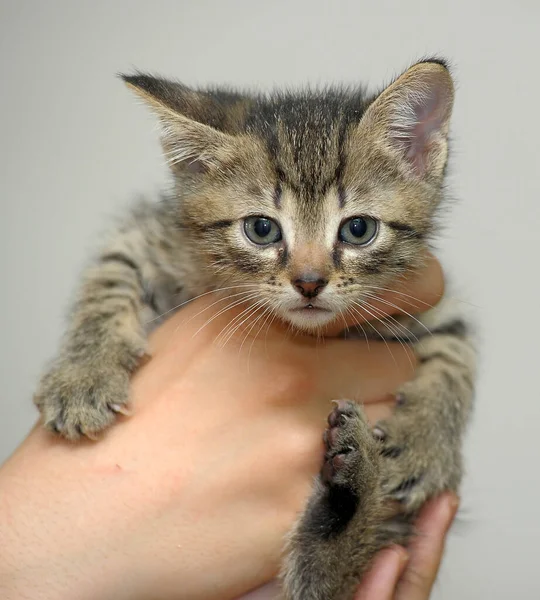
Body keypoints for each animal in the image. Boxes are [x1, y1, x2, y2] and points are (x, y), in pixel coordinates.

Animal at [35, 57, 476, 600]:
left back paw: (349, 491)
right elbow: (109, 278)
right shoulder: (148, 240)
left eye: (358, 229)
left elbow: (455, 356)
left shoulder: (429, 301)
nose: (309, 282)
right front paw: (82, 376)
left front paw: (425, 443)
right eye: (261, 229)